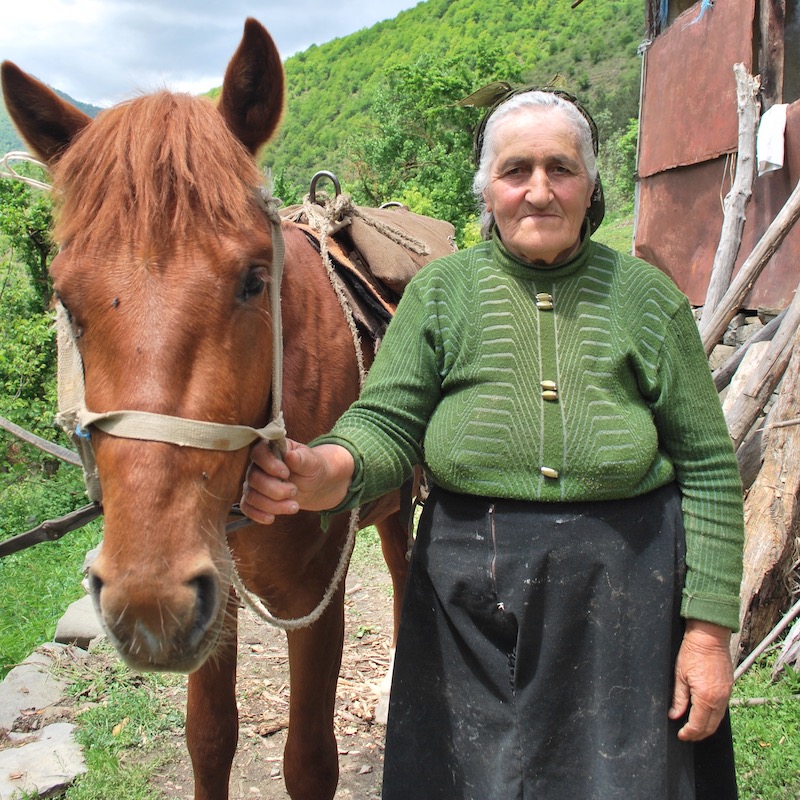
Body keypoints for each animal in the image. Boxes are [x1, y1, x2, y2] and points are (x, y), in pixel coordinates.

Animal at [4, 17, 418, 800]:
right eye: (65, 299)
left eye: (254, 280)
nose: (145, 597)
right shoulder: (212, 591)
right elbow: (210, 737)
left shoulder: (317, 597)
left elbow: (309, 759)